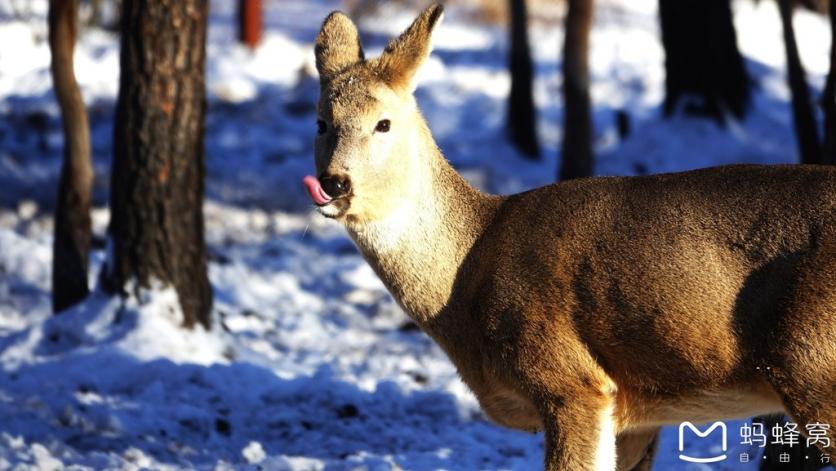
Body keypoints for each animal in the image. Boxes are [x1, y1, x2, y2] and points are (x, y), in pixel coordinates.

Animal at [304, 2, 836, 468]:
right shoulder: (639, 415)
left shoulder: (570, 380)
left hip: (812, 364)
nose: (334, 183)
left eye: (384, 123)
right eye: (322, 122)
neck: (467, 273)